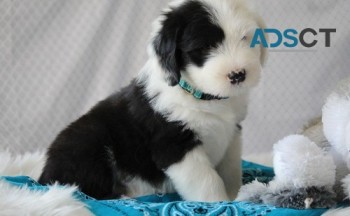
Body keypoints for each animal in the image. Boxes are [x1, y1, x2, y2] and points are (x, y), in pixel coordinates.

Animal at [38, 0, 266, 202]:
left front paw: (235, 197)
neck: (202, 96)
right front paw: (219, 203)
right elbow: (207, 180)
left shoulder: (231, 134)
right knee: (87, 188)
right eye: (204, 47)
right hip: (87, 142)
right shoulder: (174, 143)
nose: (238, 75)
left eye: (245, 38)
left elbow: (230, 171)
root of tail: (44, 175)